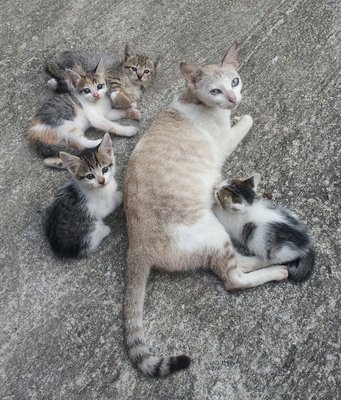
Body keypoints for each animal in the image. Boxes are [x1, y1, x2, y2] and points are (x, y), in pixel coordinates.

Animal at [122, 43, 286, 378]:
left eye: (235, 82)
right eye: (215, 90)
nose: (233, 99)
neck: (192, 100)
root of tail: (136, 245)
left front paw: (238, 114)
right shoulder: (225, 141)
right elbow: (248, 120)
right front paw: (241, 117)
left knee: (238, 262)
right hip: (212, 232)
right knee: (233, 278)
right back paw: (276, 268)